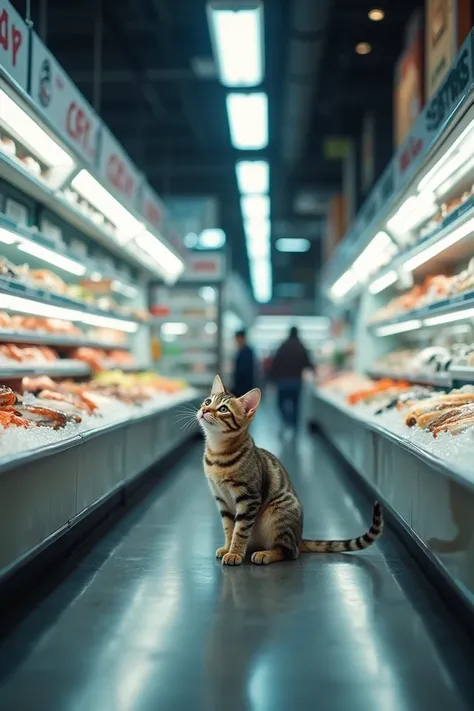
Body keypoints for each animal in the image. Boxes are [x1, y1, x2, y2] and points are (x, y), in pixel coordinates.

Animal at [198, 378, 384, 568]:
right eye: (208, 401)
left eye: (223, 409)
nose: (204, 410)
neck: (217, 453)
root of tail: (299, 538)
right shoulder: (221, 499)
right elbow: (229, 528)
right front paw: (228, 548)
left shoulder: (249, 498)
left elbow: (240, 530)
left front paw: (234, 553)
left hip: (278, 513)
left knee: (289, 552)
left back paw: (266, 554)